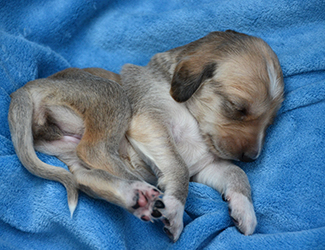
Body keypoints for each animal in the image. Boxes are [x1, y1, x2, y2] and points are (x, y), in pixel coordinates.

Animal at [8, 30, 284, 241]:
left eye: (271, 121)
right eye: (237, 107)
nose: (251, 158)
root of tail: (27, 88)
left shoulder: (207, 166)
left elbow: (236, 174)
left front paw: (244, 210)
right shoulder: (150, 124)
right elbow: (179, 168)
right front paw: (174, 210)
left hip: (71, 155)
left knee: (87, 178)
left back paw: (135, 195)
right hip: (111, 96)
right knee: (95, 151)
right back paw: (147, 194)